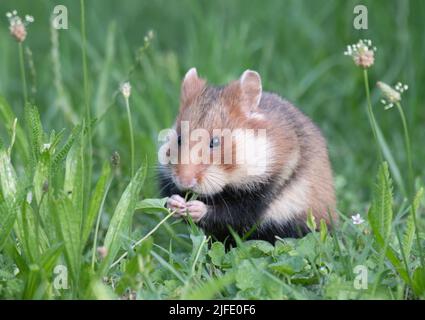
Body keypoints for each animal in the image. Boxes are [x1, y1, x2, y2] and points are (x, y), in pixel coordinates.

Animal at [157, 67, 336, 242]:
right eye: (179, 139)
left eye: (215, 142)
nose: (184, 181)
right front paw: (176, 203)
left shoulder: (263, 192)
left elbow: (233, 213)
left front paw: (195, 208)